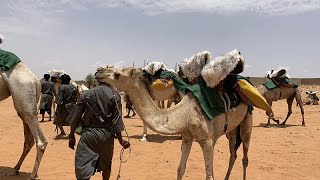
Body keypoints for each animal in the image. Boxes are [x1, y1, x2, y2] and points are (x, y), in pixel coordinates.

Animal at [99, 67, 254, 180]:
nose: (98, 72)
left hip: (247, 121)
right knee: (233, 153)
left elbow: (209, 176)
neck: (185, 114)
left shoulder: (206, 141)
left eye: (117, 74)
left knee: (245, 157)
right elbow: (180, 169)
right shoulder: (187, 137)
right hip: (231, 130)